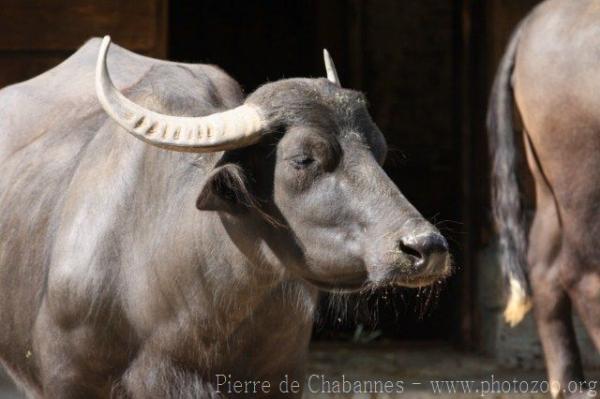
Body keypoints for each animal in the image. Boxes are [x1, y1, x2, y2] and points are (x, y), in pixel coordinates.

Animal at [490, 0, 600, 396]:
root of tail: (532, 23)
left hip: (550, 186)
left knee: (544, 268)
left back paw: (571, 385)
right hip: (583, 179)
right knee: (582, 274)